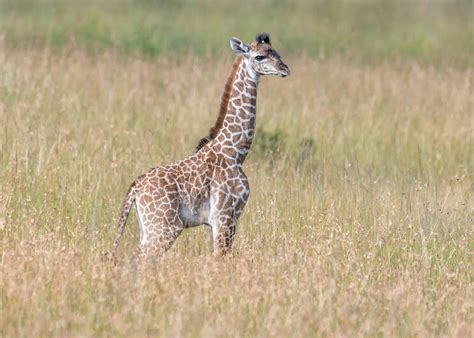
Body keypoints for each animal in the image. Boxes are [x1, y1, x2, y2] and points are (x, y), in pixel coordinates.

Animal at [110, 33, 288, 258]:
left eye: (277, 52)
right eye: (259, 57)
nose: (285, 69)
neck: (236, 151)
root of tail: (135, 188)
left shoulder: (218, 221)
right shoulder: (225, 216)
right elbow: (220, 257)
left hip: (148, 227)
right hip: (164, 227)